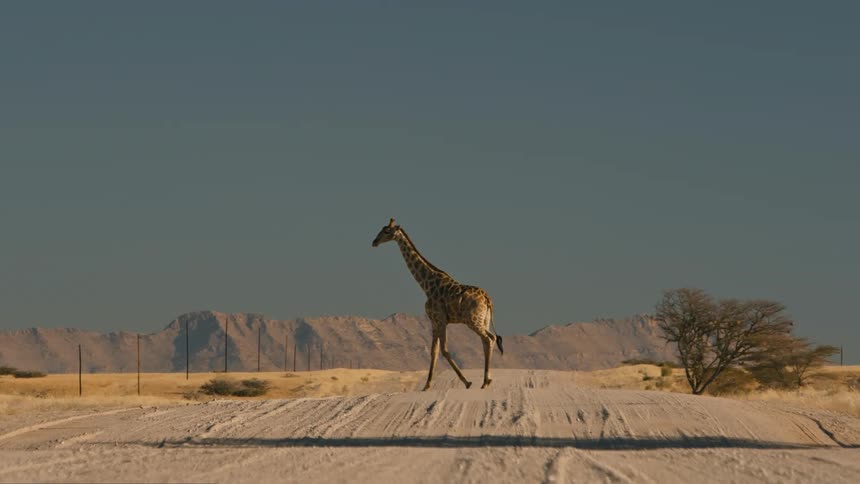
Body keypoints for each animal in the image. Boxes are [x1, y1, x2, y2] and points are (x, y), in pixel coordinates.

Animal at [372, 218, 504, 390]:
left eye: (386, 231)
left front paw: (467, 382)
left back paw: (485, 382)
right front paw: (426, 385)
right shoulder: (435, 321)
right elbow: (434, 351)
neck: (426, 284)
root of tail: (488, 299)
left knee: (488, 339)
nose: (374, 242)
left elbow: (444, 350)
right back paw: (486, 381)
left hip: (473, 320)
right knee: (490, 339)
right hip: (484, 320)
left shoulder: (439, 319)